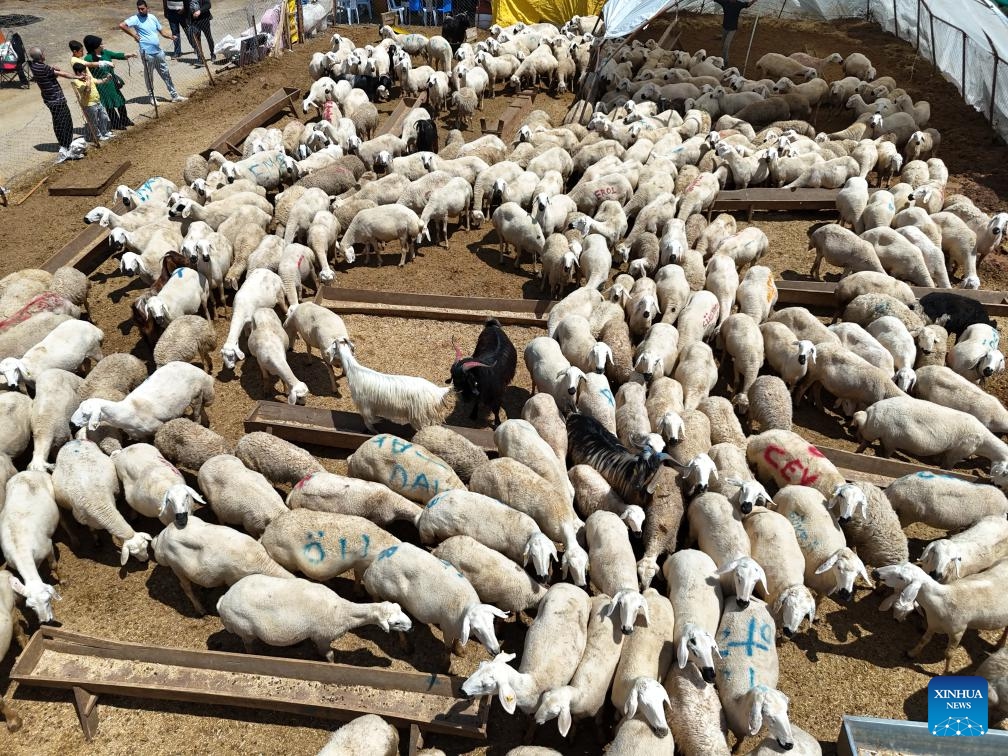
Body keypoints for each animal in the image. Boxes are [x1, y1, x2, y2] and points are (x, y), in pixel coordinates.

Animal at [0, 473, 60, 628]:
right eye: (30, 607)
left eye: (48, 600)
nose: (46, 621)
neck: (20, 549)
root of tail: (24, 473)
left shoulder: (48, 546)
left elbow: (54, 565)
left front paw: (61, 580)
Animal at [71, 362, 216, 443]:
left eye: (85, 414)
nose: (71, 423)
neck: (127, 412)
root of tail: (202, 373)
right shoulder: (140, 435)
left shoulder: (157, 427)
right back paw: (206, 421)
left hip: (196, 395)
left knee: (197, 412)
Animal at [870, 564, 1008, 673]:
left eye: (901, 578)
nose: (875, 572)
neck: (942, 600)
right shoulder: (932, 624)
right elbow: (923, 640)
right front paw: (912, 653)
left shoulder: (958, 631)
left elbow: (949, 654)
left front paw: (946, 672)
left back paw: (1000, 644)